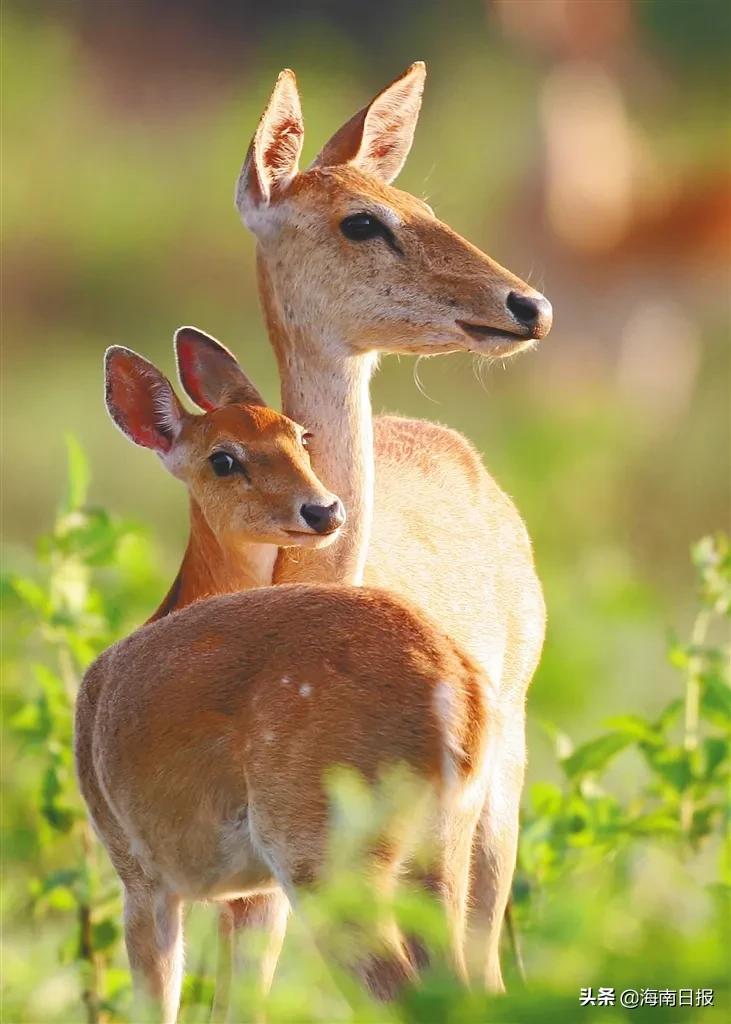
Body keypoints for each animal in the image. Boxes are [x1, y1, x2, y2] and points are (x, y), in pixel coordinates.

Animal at [75, 342, 489, 1015]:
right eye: (224, 458)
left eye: (301, 436)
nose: (323, 508)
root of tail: (458, 693)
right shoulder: (248, 893)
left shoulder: (139, 870)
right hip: (443, 849)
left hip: (322, 846)